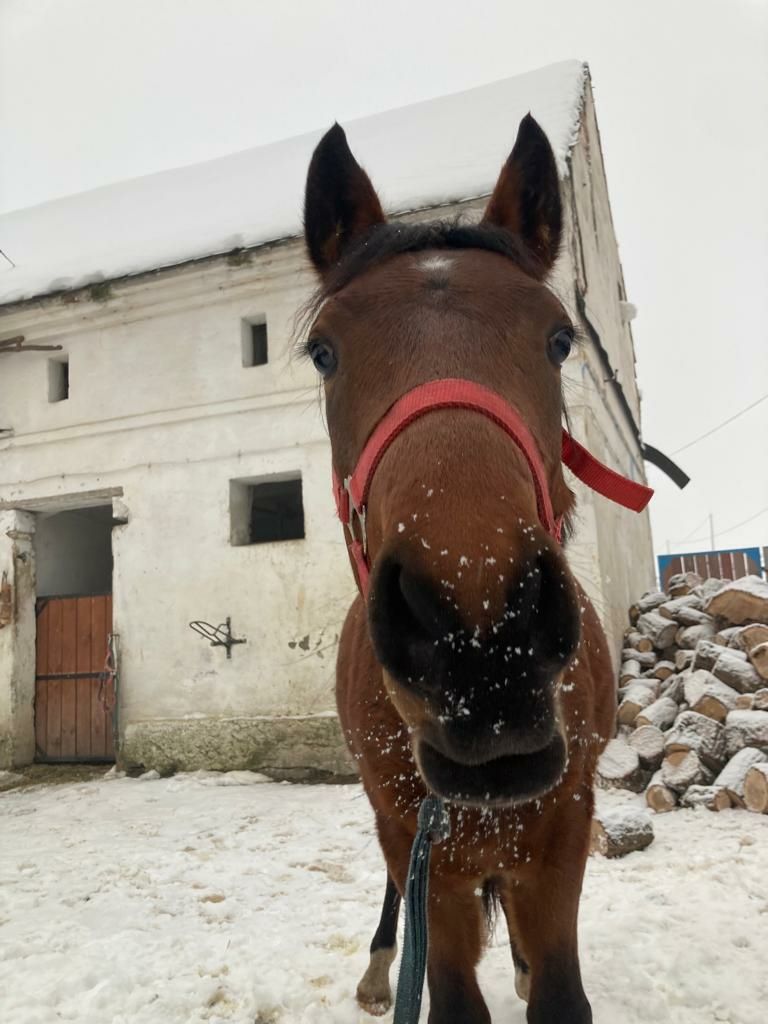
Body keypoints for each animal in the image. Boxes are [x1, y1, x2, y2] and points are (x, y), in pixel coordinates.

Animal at [303, 116, 622, 1019]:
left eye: (558, 338)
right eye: (322, 353)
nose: (481, 634)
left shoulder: (564, 833)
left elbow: (557, 987)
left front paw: (526, 967)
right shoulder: (422, 852)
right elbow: (444, 985)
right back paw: (381, 963)